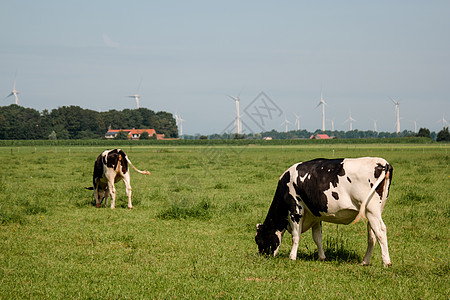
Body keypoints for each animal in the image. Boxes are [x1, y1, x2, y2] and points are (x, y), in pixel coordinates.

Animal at [256, 157, 394, 268]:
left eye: (258, 240)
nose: (261, 257)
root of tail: (382, 162)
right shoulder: (315, 216)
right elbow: (318, 237)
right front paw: (322, 257)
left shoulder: (295, 211)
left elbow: (296, 236)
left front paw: (292, 257)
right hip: (373, 212)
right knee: (372, 236)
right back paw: (365, 261)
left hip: (372, 210)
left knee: (381, 231)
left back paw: (386, 262)